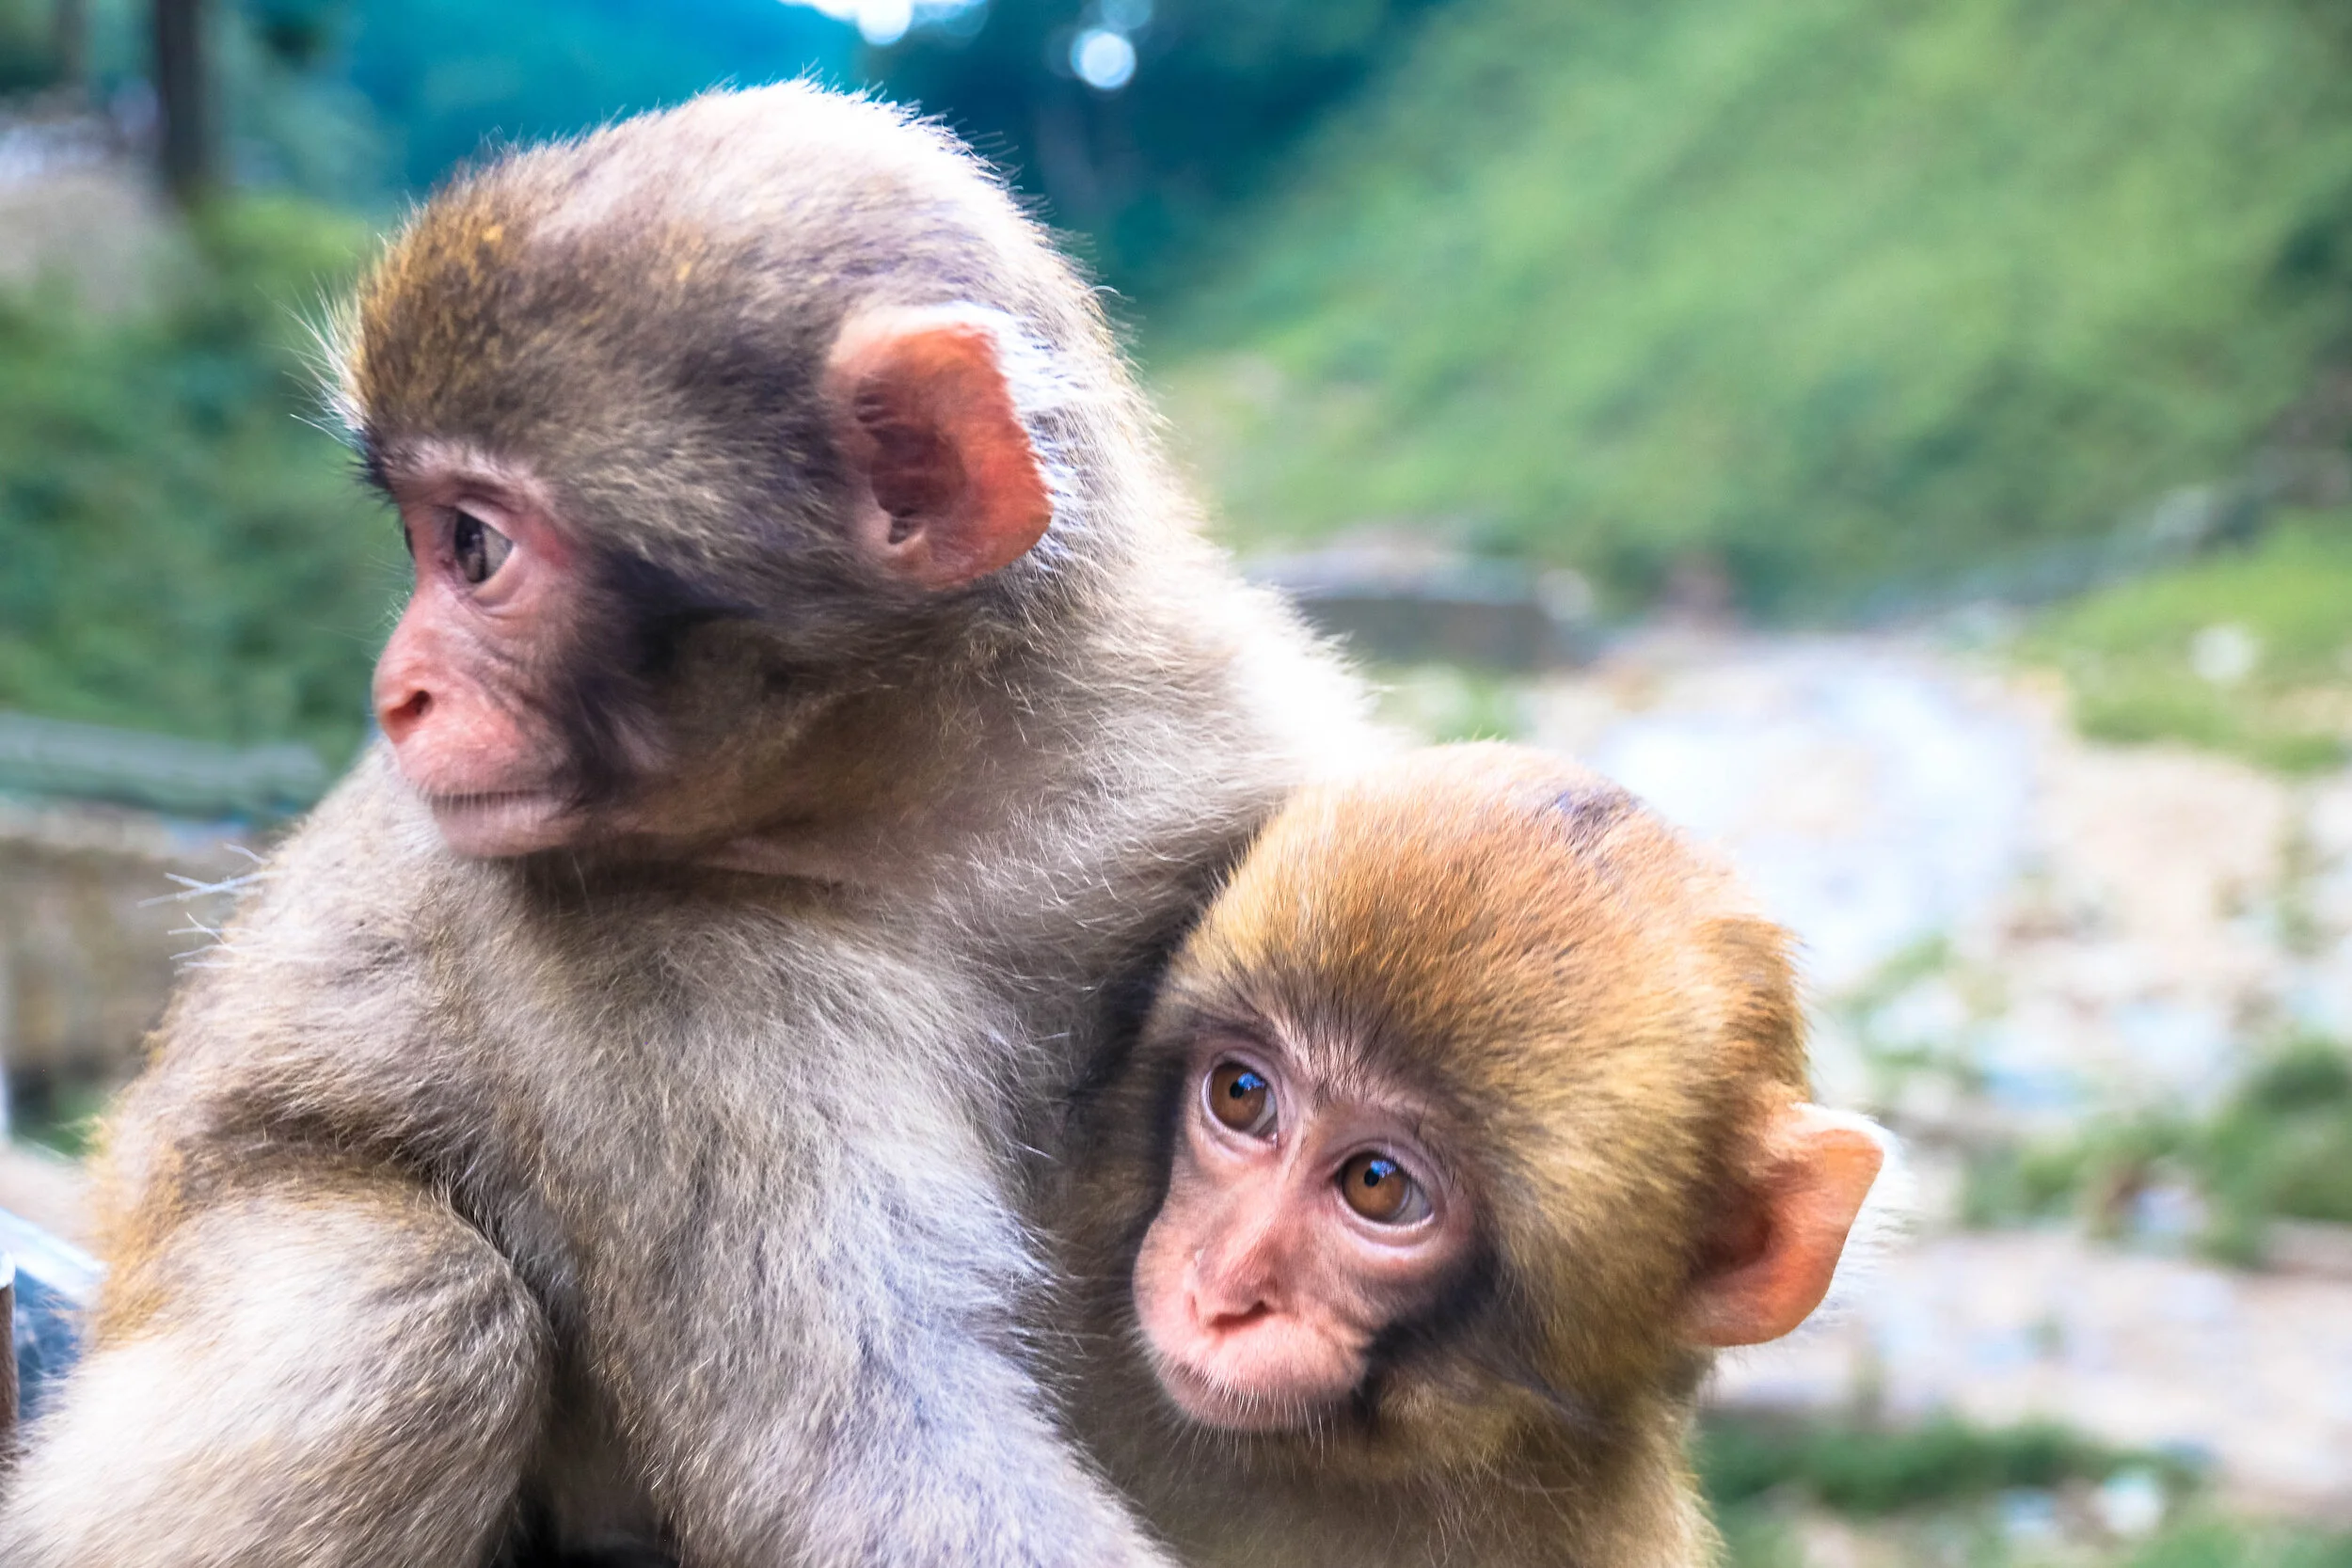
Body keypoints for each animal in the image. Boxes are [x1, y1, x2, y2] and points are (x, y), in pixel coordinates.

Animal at [0, 84, 1383, 1567]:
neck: (914, 786)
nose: (395, 691)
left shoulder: (1216, 723)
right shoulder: (622, 956)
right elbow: (862, 1444)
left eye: (471, 548)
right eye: (423, 540)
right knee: (409, 1306)